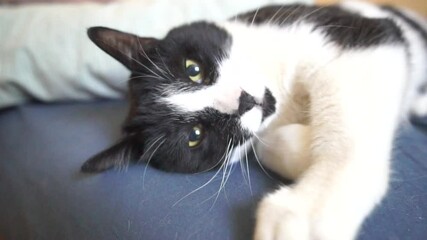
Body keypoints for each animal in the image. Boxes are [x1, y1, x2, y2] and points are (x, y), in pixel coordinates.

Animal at [80, 0, 427, 239]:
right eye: (195, 135)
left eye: (193, 69)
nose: (243, 101)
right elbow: (264, 144)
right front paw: (295, 149)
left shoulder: (355, 34)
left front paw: (305, 214)